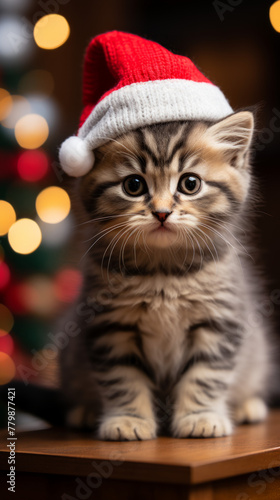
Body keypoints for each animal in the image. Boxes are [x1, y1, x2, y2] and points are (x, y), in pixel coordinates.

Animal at [59, 111, 272, 440]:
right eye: (133, 185)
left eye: (190, 184)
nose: (161, 212)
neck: (164, 271)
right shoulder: (109, 325)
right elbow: (122, 378)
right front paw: (128, 419)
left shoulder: (219, 321)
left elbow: (206, 375)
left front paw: (200, 417)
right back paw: (85, 411)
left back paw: (247, 406)